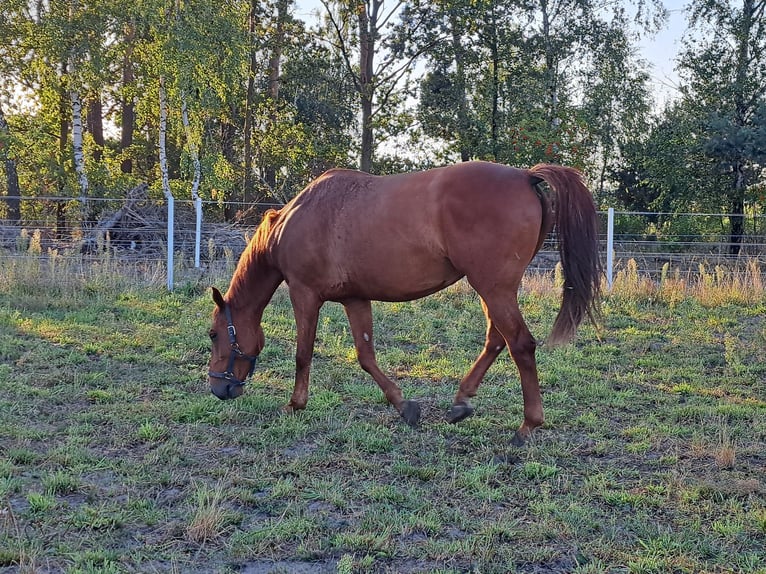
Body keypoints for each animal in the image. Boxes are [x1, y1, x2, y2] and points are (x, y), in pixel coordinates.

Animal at [207, 160, 604, 448]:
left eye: (213, 334)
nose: (217, 389)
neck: (296, 220)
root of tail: (525, 176)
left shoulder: (304, 294)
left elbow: (303, 353)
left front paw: (295, 403)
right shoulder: (355, 298)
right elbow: (366, 356)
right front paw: (404, 406)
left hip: (494, 288)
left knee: (520, 344)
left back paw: (526, 427)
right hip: (493, 290)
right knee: (497, 340)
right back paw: (461, 402)